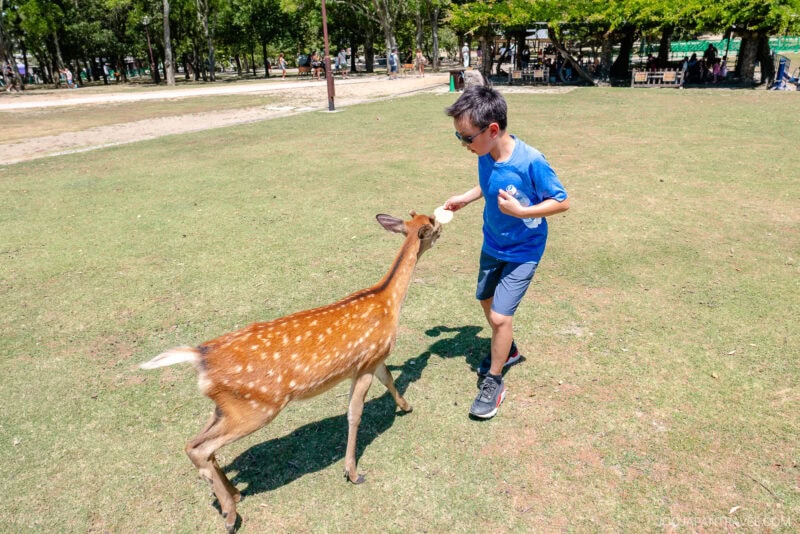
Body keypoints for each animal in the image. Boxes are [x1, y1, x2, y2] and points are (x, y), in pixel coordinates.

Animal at [140, 211, 442, 533]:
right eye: (434, 224)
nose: (443, 230)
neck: (388, 301)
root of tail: (200, 356)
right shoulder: (366, 362)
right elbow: (354, 413)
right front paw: (353, 472)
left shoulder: (376, 359)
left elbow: (390, 381)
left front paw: (407, 407)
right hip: (256, 407)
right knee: (200, 448)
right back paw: (230, 514)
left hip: (225, 406)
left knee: (195, 444)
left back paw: (233, 494)